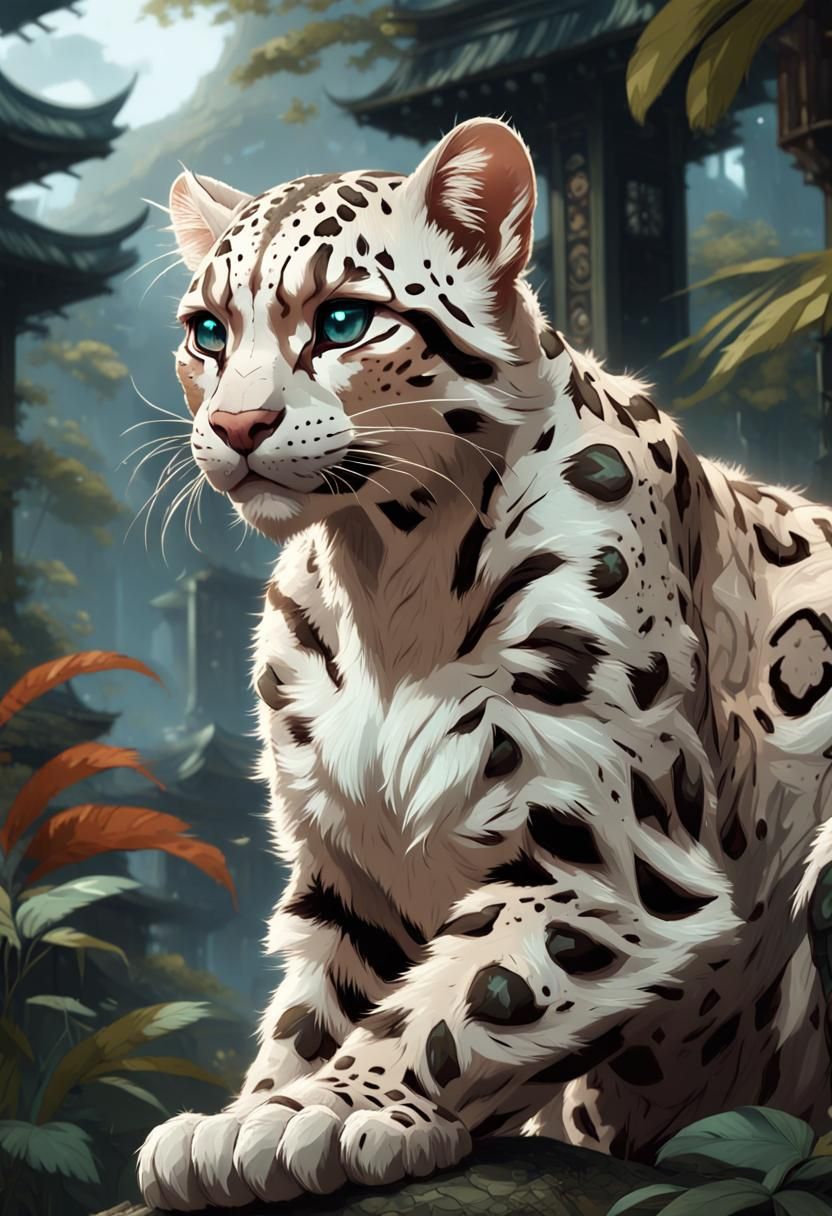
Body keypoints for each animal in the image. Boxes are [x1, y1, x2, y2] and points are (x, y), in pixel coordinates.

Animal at [137, 117, 832, 1210]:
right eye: (207, 330)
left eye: (343, 319)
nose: (237, 427)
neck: (383, 578)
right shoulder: (348, 866)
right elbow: (320, 1007)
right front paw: (247, 1112)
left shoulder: (609, 854)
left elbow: (469, 998)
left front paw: (315, 1114)